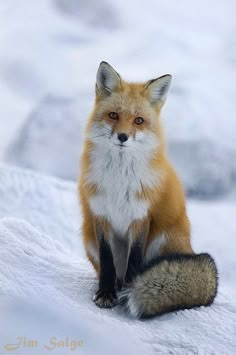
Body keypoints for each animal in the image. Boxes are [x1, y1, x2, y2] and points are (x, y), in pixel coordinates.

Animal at [79, 62, 218, 320]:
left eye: (139, 120)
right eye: (113, 115)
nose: (122, 137)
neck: (119, 179)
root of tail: (189, 248)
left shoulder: (141, 217)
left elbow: (134, 260)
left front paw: (128, 293)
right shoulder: (101, 216)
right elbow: (107, 261)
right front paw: (106, 294)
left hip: (161, 239)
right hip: (88, 237)